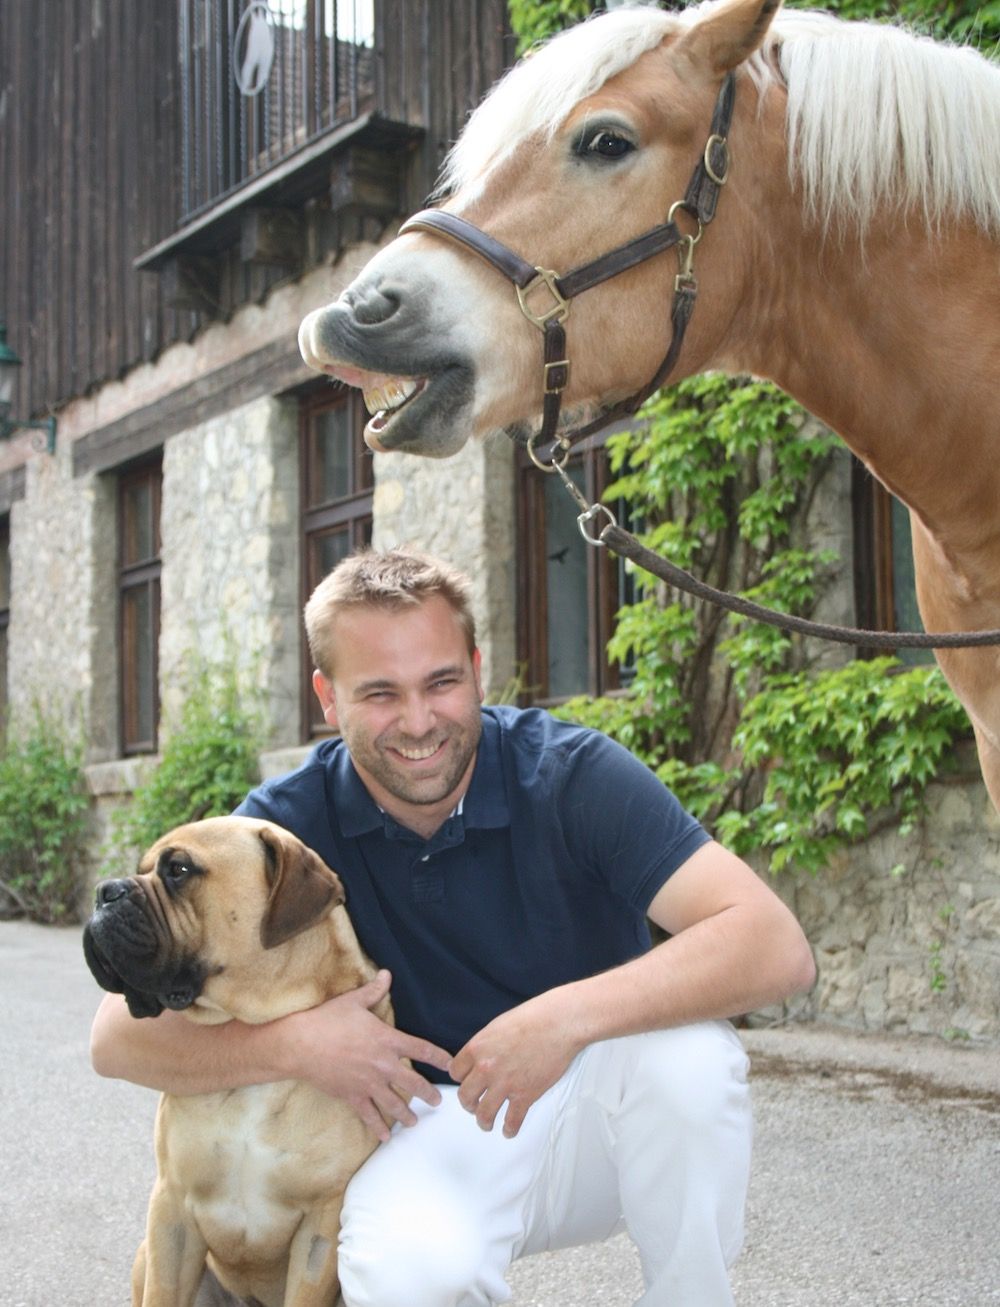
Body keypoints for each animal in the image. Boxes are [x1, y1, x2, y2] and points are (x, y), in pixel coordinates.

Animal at [83, 815, 392, 1307]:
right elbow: (162, 1290)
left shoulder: (321, 1227)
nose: (104, 890)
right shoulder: (171, 1206)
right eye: (143, 868)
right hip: (144, 1254)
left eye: (179, 870)